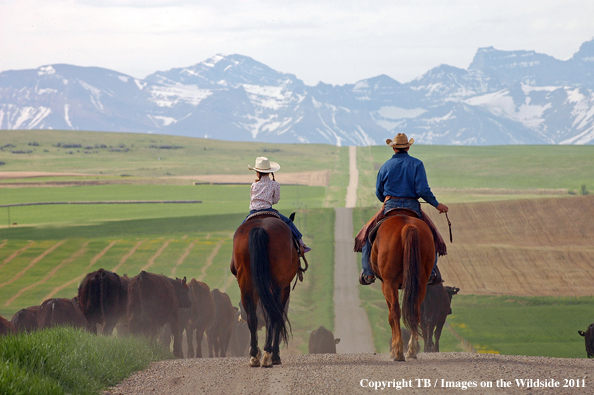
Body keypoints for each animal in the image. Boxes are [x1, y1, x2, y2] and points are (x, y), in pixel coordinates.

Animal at [230, 213, 298, 368]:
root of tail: (260, 228)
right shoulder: (285, 289)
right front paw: (275, 355)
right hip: (278, 286)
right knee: (273, 317)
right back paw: (268, 355)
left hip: (246, 283)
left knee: (253, 317)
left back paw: (255, 356)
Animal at [370, 212, 434, 364]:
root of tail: (407, 226)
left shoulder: (385, 284)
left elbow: (390, 316)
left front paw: (393, 350)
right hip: (421, 283)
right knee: (414, 312)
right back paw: (411, 351)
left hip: (390, 283)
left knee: (395, 312)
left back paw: (398, 352)